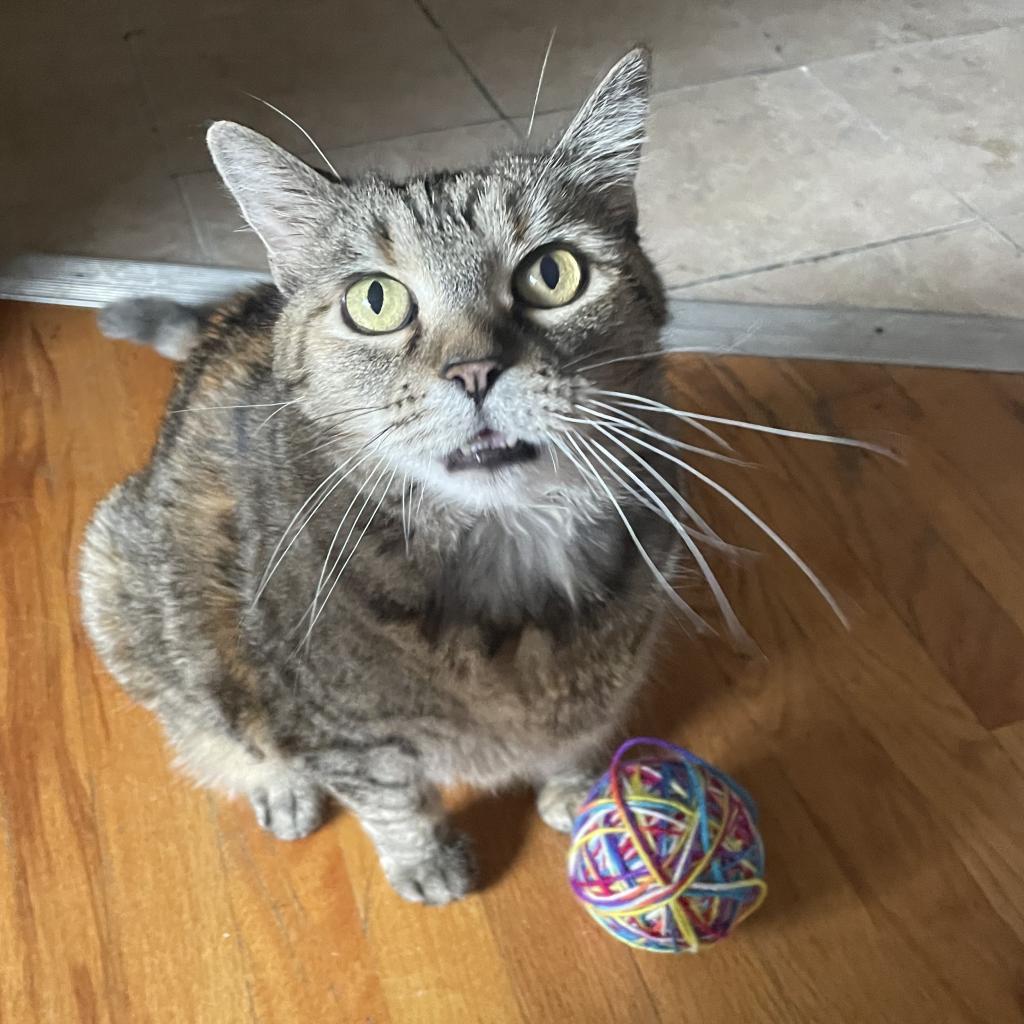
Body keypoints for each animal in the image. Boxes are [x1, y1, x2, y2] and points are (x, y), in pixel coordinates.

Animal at [81, 46, 688, 905]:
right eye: (375, 300)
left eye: (555, 274)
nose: (474, 371)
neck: (506, 566)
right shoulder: (339, 729)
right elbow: (388, 794)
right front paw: (425, 860)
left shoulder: (608, 679)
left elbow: (582, 731)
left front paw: (582, 791)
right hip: (120, 575)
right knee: (208, 720)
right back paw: (279, 785)